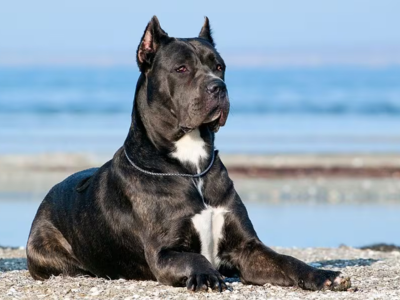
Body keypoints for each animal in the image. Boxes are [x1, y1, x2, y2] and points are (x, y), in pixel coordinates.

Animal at [25, 16, 350, 292]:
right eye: (181, 69)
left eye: (219, 66)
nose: (218, 87)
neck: (191, 166)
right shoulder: (165, 252)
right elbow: (195, 257)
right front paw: (207, 275)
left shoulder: (248, 248)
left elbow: (286, 260)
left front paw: (324, 275)